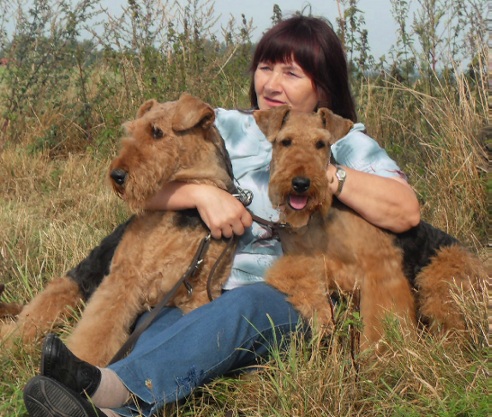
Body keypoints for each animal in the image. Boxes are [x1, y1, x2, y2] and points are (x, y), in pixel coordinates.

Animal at [254, 106, 484, 348]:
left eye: (321, 143)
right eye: (286, 141)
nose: (301, 183)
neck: (317, 218)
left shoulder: (380, 269)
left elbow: (377, 323)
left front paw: (379, 353)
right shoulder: (301, 260)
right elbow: (294, 276)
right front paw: (322, 315)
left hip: (439, 275)